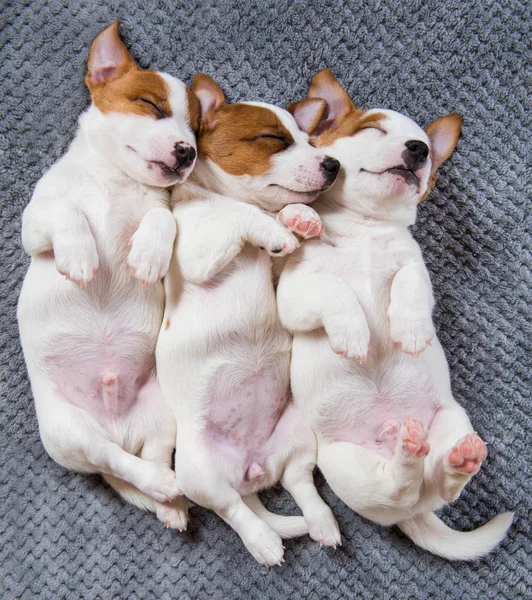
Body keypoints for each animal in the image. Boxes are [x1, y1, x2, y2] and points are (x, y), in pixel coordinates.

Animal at [17, 22, 200, 528]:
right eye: (151, 105)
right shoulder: (33, 222)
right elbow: (68, 212)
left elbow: (163, 218)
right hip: (68, 434)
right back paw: (161, 487)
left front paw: (148, 257)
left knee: (148, 457)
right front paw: (80, 255)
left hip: (162, 414)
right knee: (115, 460)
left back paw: (170, 498)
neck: (113, 179)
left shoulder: (161, 210)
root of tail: (117, 426)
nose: (189, 152)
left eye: (197, 128)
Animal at [155, 74, 340, 564]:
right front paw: (275, 225)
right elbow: (245, 212)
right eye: (273, 139)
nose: (333, 163)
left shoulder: (277, 276)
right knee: (230, 508)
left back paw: (321, 523)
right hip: (197, 471)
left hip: (298, 436)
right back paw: (264, 542)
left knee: (298, 480)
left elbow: (275, 224)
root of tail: (252, 471)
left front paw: (299, 217)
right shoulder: (196, 251)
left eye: (311, 140)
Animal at [276, 70, 512, 564]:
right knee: (393, 488)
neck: (364, 227)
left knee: (437, 486)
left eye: (425, 146)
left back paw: (453, 460)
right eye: (372, 129)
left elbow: (410, 288)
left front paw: (412, 329)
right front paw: (353, 334)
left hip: (452, 423)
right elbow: (336, 290)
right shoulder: (295, 293)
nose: (419, 149)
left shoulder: (414, 266)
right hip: (343, 462)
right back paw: (403, 460)